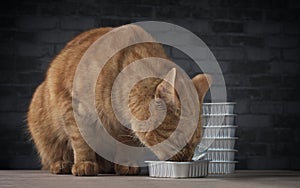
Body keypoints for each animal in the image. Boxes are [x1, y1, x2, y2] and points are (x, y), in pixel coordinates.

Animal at [27, 24, 211, 176]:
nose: (187, 159)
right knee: (52, 154)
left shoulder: (124, 128)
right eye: (181, 139)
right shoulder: (74, 108)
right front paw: (85, 163)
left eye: (196, 143)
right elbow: (81, 141)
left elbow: (125, 144)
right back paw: (61, 164)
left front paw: (126, 164)